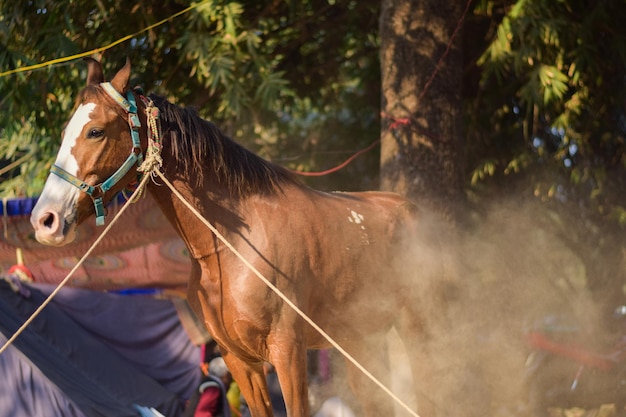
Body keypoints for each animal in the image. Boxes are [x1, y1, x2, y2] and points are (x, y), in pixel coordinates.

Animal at [29, 58, 442, 416]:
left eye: (95, 131)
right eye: (65, 132)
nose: (44, 220)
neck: (234, 248)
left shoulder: (288, 353)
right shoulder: (240, 361)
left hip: (417, 333)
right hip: (363, 343)